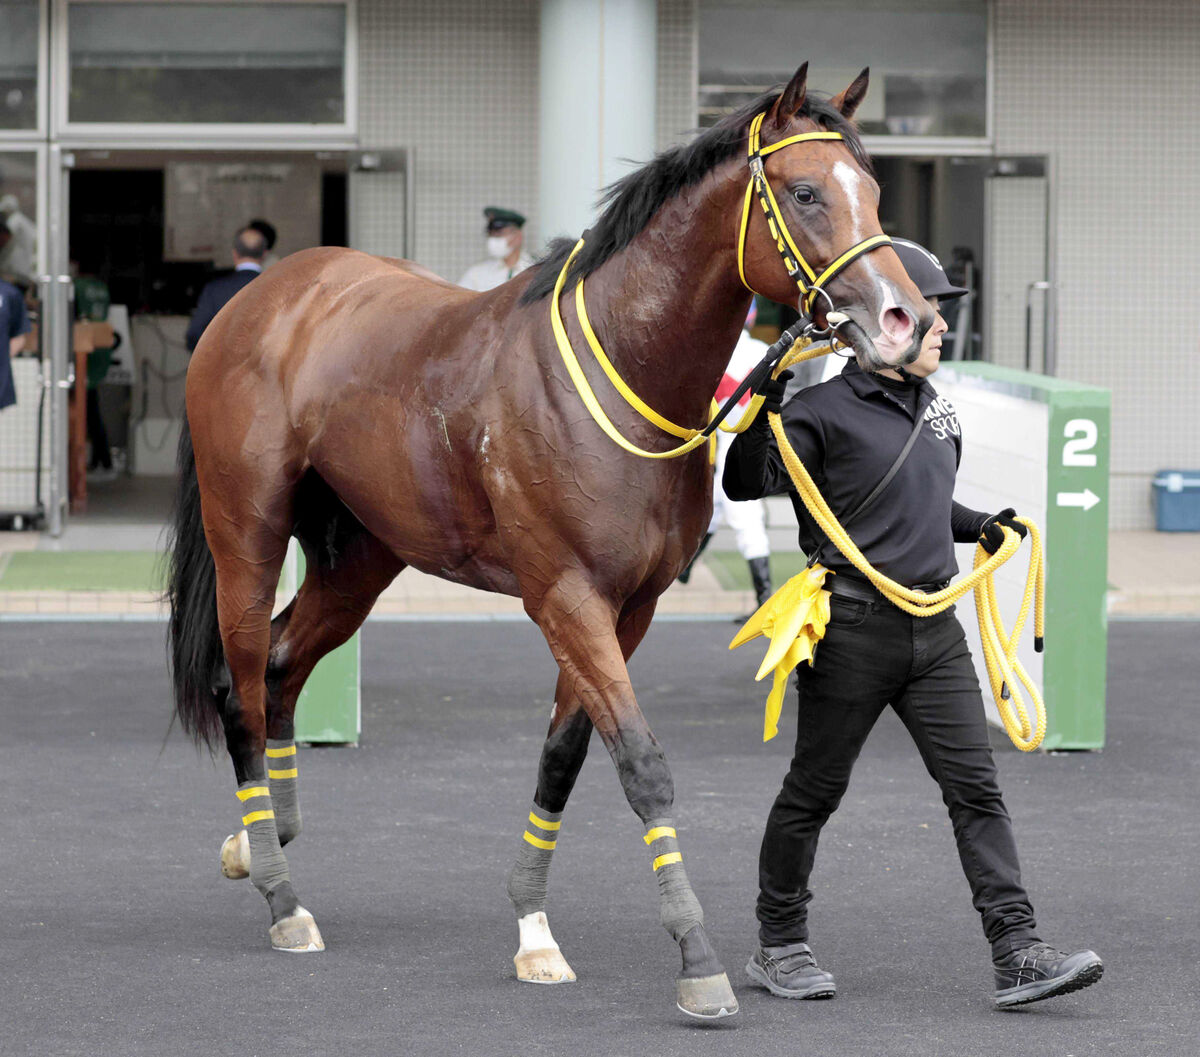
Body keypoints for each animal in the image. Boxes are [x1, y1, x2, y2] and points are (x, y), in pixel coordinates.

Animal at [166, 61, 926, 1017]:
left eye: (874, 190)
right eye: (804, 192)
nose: (907, 320)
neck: (625, 366)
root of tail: (262, 296)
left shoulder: (627, 606)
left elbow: (565, 755)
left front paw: (532, 928)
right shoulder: (566, 595)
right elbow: (641, 763)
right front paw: (697, 956)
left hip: (359, 557)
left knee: (277, 666)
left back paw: (261, 836)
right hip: (248, 532)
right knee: (239, 686)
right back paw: (280, 894)